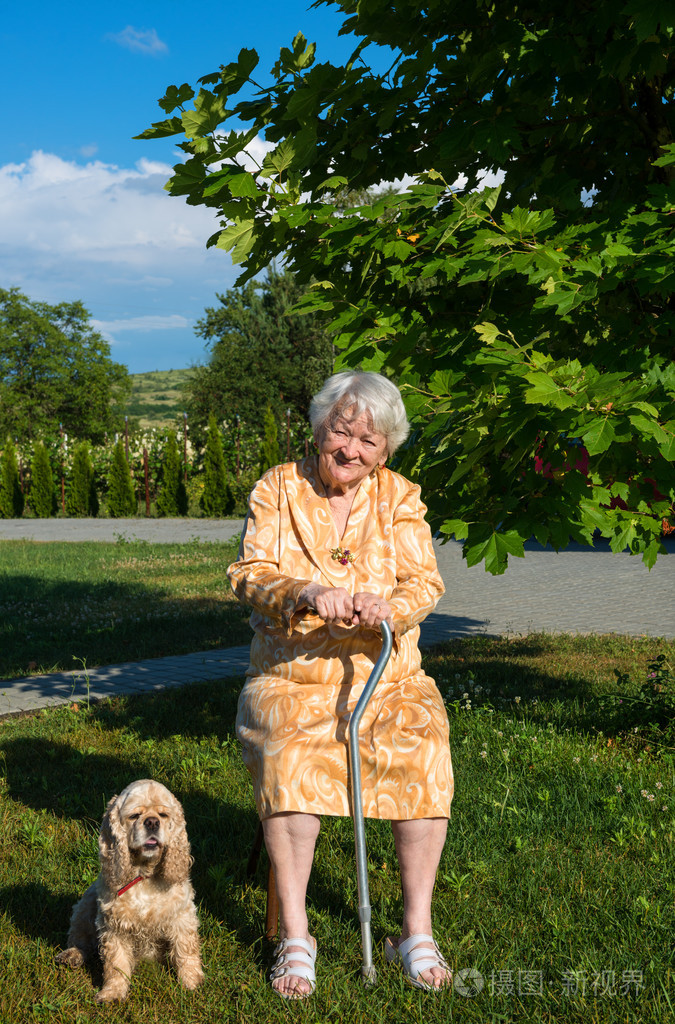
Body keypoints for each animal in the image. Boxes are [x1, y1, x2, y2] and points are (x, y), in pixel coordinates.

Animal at [56, 778, 203, 1003]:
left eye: (163, 815)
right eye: (134, 816)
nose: (151, 822)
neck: (144, 875)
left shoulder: (182, 916)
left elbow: (186, 950)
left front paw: (192, 982)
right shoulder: (113, 925)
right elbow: (115, 963)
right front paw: (112, 993)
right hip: (86, 902)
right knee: (80, 938)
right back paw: (71, 955)